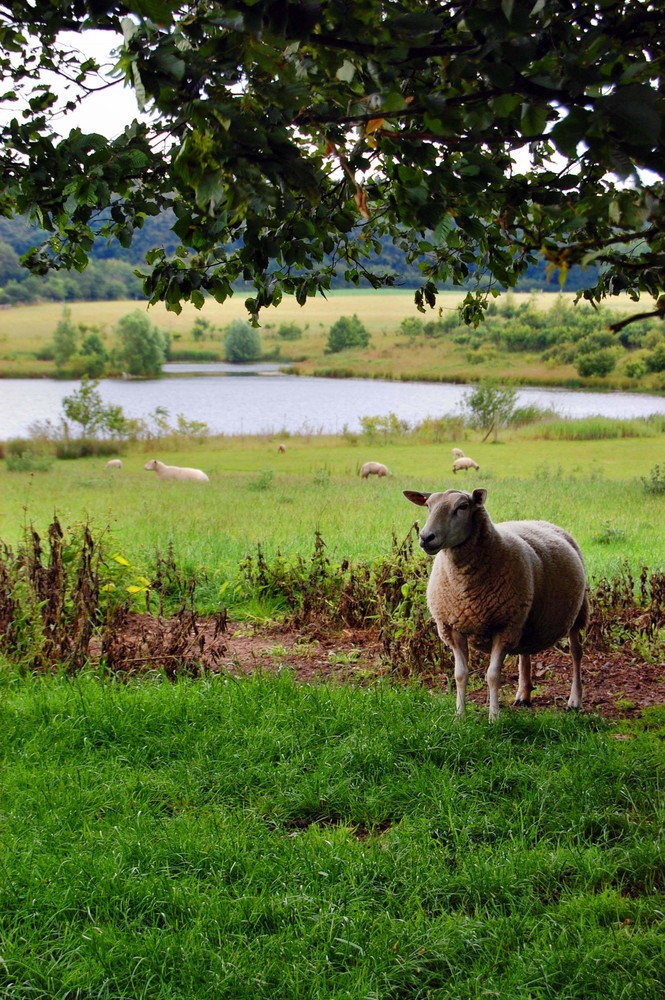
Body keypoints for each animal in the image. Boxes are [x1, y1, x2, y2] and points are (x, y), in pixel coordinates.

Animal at [404, 484, 588, 720]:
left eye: (462, 507)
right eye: (428, 506)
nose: (426, 537)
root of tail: (542, 521)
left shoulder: (503, 627)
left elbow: (492, 675)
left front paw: (494, 717)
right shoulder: (452, 627)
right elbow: (460, 675)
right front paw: (459, 716)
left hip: (576, 611)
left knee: (576, 653)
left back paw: (574, 700)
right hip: (524, 618)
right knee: (525, 653)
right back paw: (523, 695)